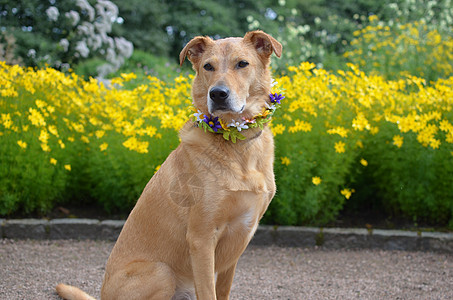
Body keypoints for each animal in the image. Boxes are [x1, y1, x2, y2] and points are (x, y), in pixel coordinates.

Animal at [55, 30, 282, 300]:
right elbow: (208, 292)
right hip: (162, 272)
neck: (238, 142)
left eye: (242, 64)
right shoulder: (202, 237)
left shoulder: (237, 242)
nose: (217, 94)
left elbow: (222, 291)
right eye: (208, 66)